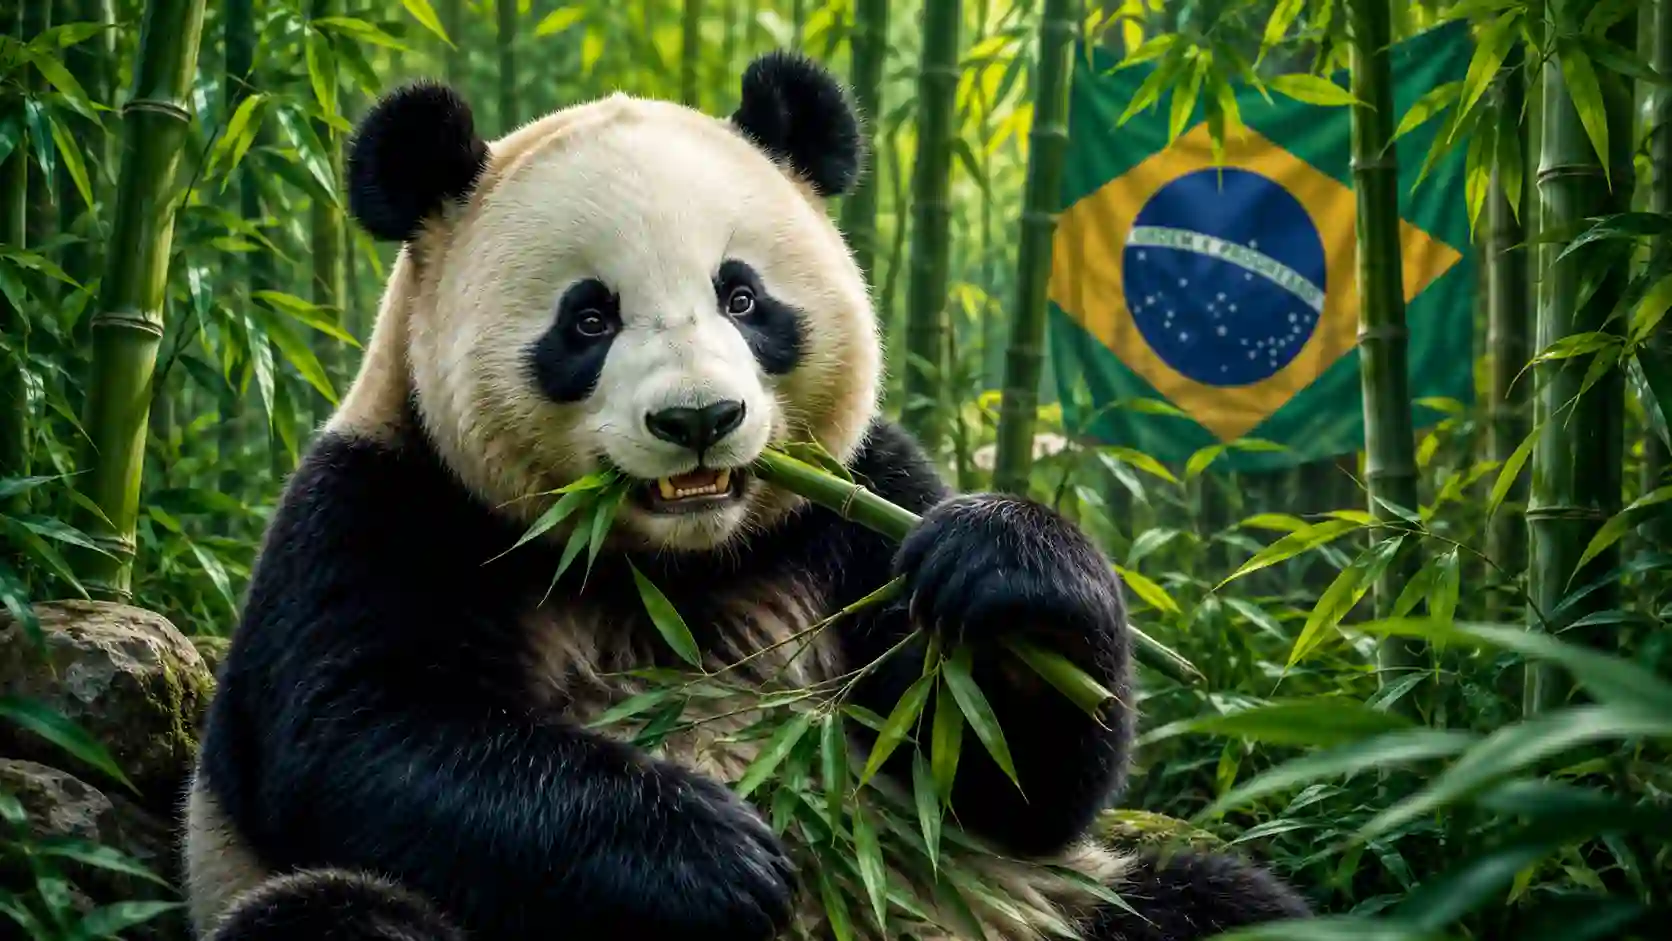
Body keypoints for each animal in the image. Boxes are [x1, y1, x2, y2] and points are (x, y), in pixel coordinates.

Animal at [181, 51, 1313, 941]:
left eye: (742, 296)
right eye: (588, 319)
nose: (699, 418)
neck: (671, 560)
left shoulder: (854, 504)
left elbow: (1005, 778)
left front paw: (1002, 568)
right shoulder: (379, 506)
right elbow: (357, 736)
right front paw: (713, 853)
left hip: (1053, 905)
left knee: (1222, 902)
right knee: (334, 912)